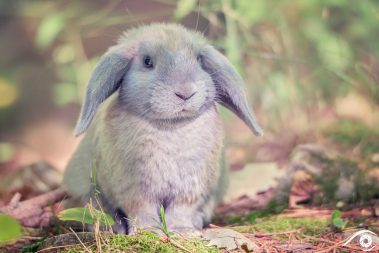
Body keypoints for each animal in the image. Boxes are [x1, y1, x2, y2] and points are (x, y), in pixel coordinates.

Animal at [63, 22, 264, 234]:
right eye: (147, 62)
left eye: (198, 59)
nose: (185, 92)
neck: (172, 126)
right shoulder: (135, 190)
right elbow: (142, 211)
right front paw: (148, 231)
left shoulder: (189, 190)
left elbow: (181, 210)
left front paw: (182, 230)